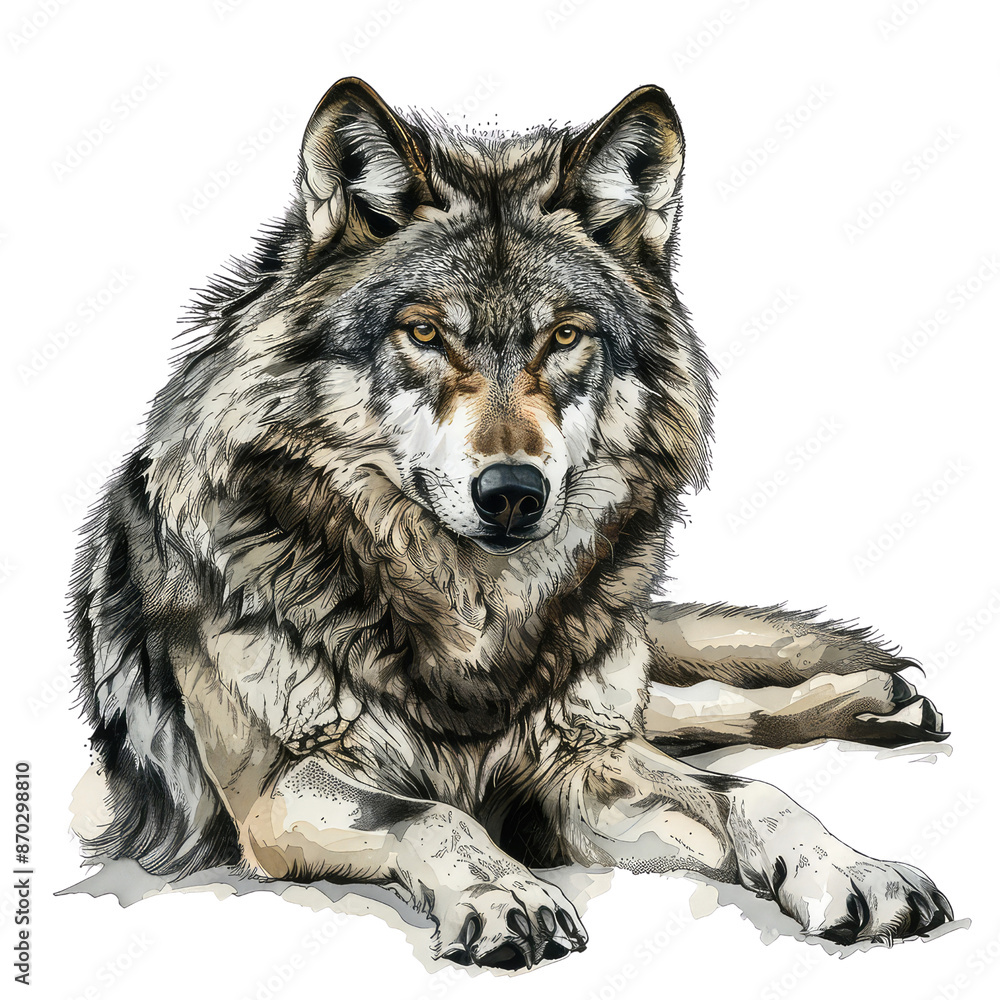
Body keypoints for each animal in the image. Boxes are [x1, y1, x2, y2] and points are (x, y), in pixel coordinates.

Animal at [70, 78, 953, 970]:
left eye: (564, 336)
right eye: (425, 332)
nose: (512, 493)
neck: (473, 624)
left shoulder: (578, 764)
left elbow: (756, 791)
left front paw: (851, 868)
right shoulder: (276, 792)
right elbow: (432, 813)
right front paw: (507, 892)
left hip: (612, 710)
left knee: (704, 710)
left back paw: (883, 703)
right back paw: (886, 703)